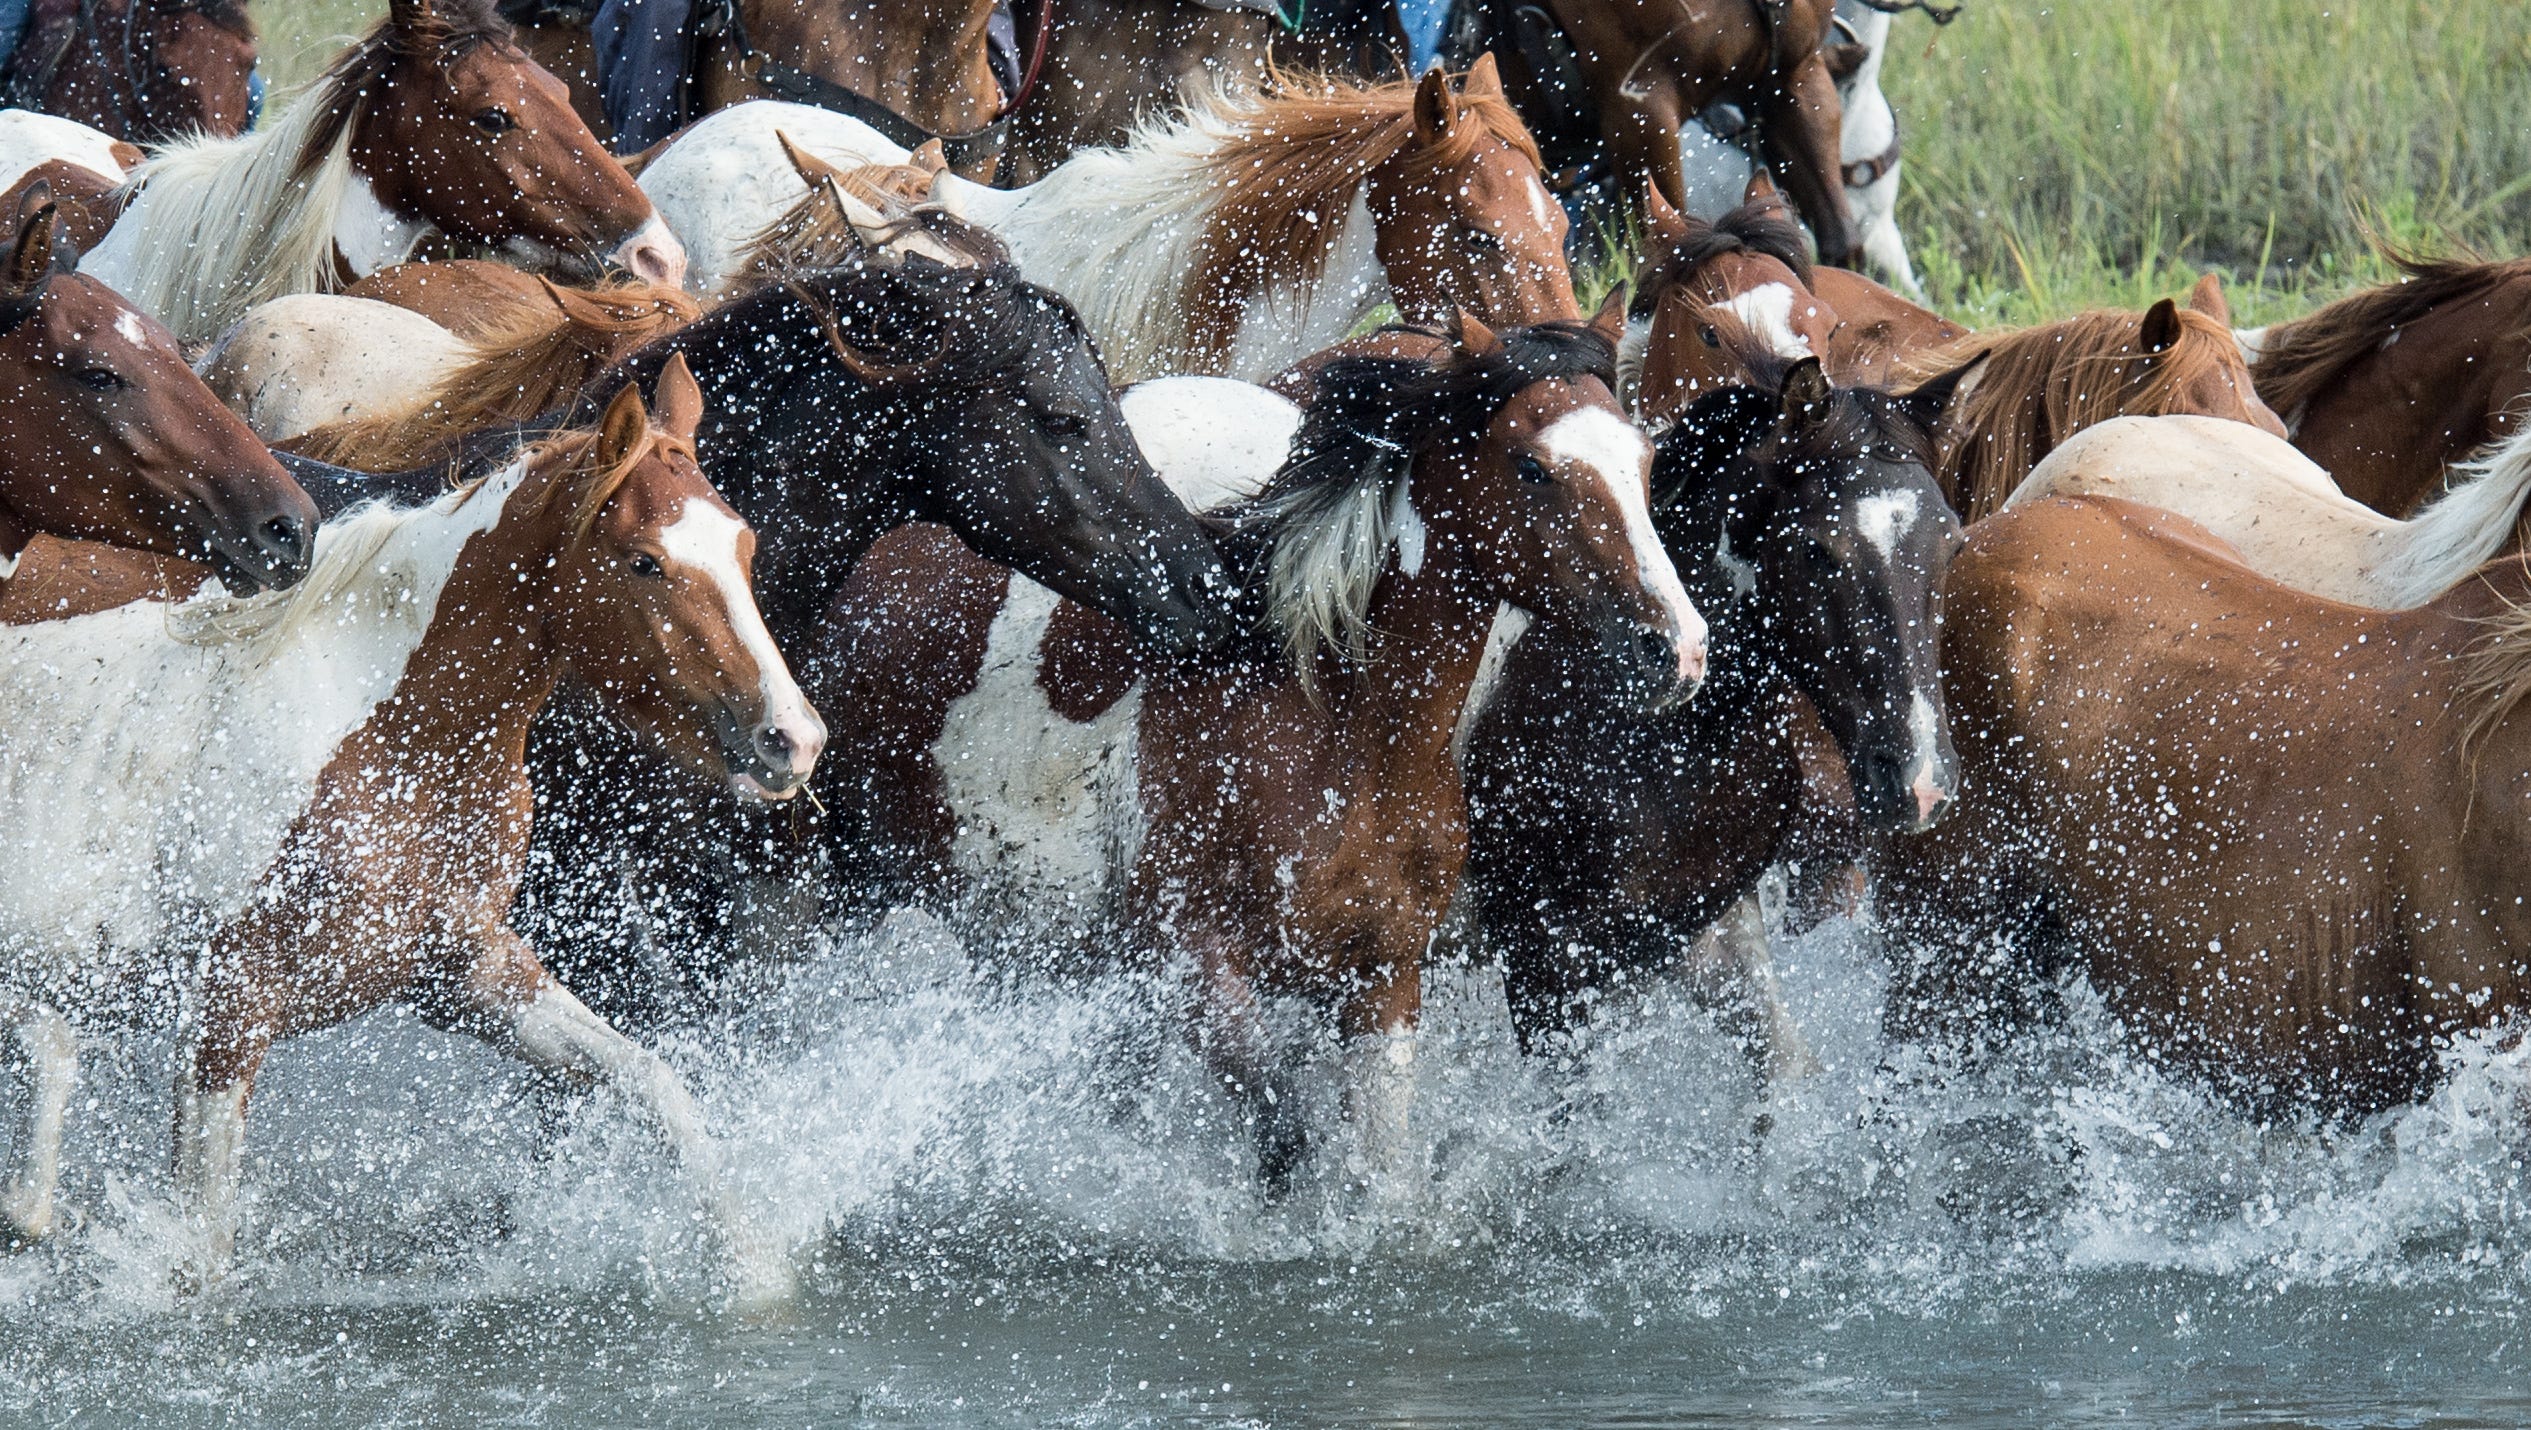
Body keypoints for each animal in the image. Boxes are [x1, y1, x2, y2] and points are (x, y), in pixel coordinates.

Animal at [0, 357, 816, 1295]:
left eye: (744, 548)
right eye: (643, 560)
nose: (794, 739)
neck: (392, 743)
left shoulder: (467, 970)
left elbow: (654, 1083)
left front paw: (757, 1274)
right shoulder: (226, 1009)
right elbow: (203, 1244)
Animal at [807, 304, 1703, 1193]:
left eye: (1643, 460)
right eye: (1531, 467)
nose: (1678, 649)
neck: (1343, 740)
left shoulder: (1383, 986)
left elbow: (1381, 1171)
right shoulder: (1194, 965)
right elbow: (1283, 1140)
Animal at [1462, 351, 1956, 1071]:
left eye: (1950, 542)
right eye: (1816, 548)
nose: (1919, 779)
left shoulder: (1699, 924)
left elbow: (1783, 1062)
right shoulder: (1540, 963)